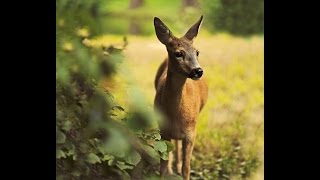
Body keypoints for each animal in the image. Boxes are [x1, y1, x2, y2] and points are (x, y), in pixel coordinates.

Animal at [154, 15, 209, 180]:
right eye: (178, 53)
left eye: (197, 52)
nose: (198, 71)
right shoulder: (163, 130)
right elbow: (162, 165)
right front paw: (167, 171)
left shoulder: (191, 133)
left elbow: (187, 168)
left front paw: (181, 169)